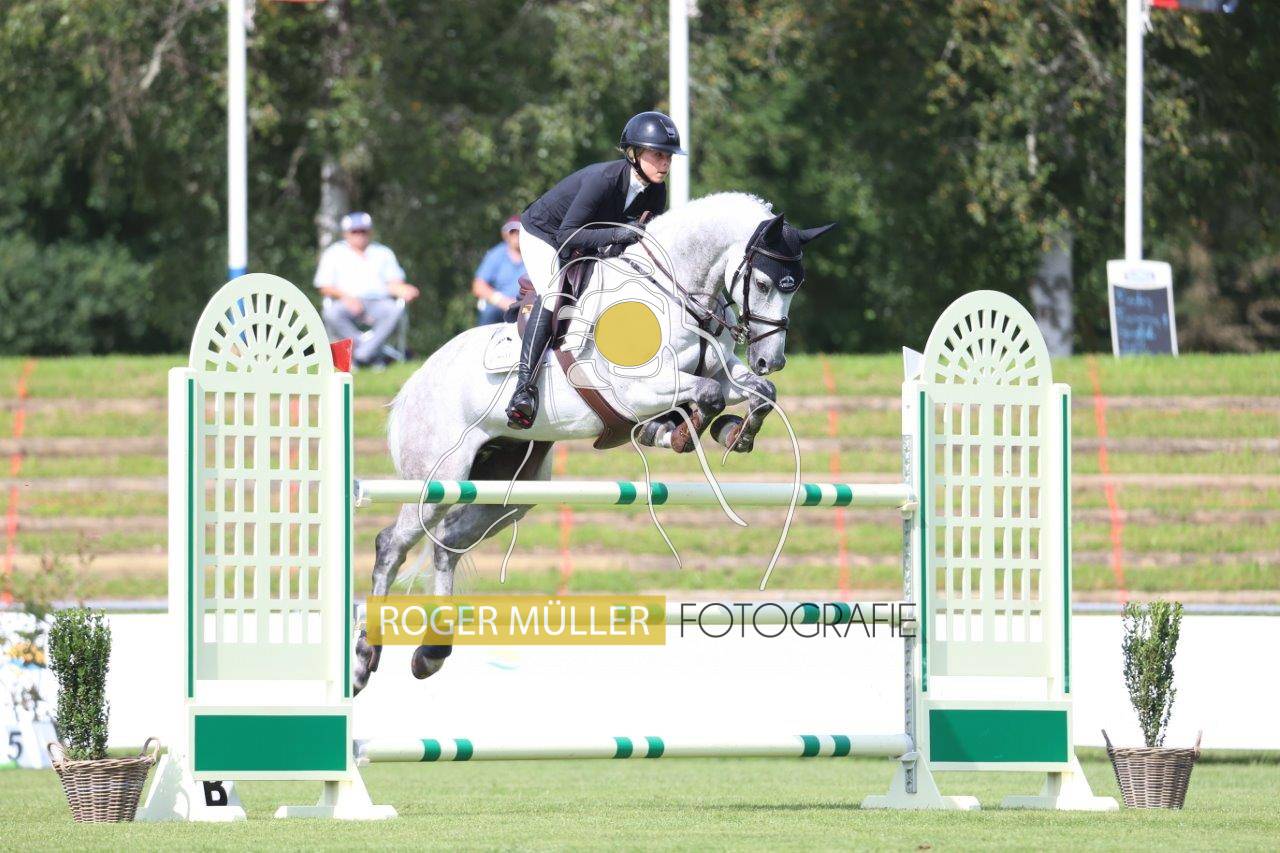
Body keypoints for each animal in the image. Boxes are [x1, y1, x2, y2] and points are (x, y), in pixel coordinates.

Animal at [354, 192, 835, 693]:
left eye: (794, 286)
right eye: (762, 282)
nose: (770, 359)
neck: (675, 295)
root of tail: (413, 385)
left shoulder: (720, 369)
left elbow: (755, 392)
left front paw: (734, 432)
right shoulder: (631, 388)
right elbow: (706, 394)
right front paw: (678, 430)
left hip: (509, 491)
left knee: (446, 543)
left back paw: (431, 653)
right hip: (437, 480)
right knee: (392, 544)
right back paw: (365, 657)